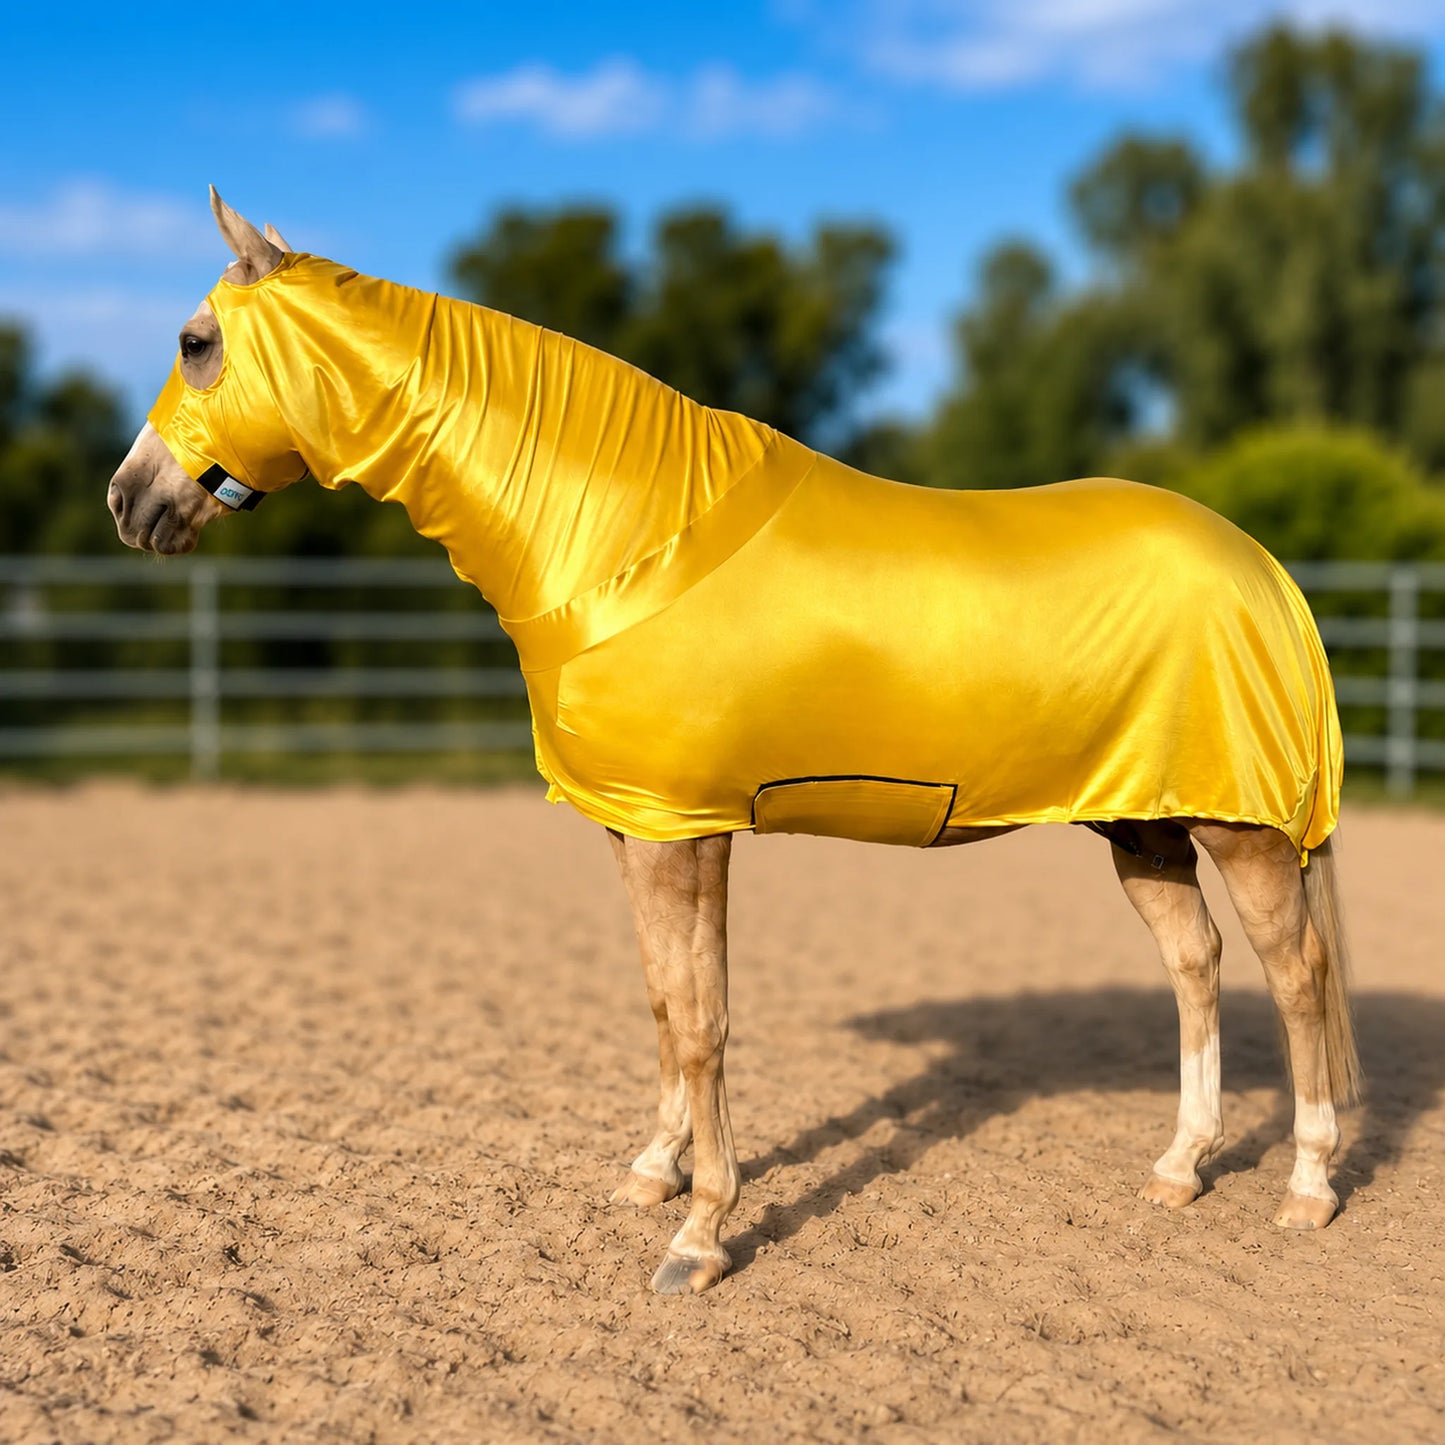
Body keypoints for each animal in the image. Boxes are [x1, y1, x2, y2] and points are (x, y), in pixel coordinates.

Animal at [107, 189, 1361, 1295]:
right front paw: (654, 1172)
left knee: (1294, 971)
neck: (624, 539)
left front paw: (700, 1234)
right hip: (1140, 822)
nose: (130, 500)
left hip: (1237, 826)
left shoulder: (683, 833)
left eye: (195, 341)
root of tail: (1260, 567)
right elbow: (670, 1007)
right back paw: (1179, 1167)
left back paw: (1305, 1184)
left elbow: (704, 1020)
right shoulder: (641, 826)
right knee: (1194, 963)